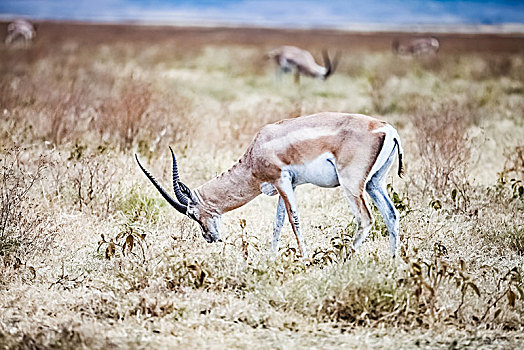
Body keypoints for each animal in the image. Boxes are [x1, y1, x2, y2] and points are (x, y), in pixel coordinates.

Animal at [136, 112, 406, 258]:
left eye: (193, 213)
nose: (209, 237)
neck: (258, 149)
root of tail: (387, 129)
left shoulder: (281, 181)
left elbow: (294, 220)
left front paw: (304, 258)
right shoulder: (286, 188)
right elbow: (278, 223)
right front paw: (272, 256)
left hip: (352, 186)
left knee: (366, 219)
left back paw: (344, 258)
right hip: (374, 184)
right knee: (391, 215)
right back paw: (392, 259)